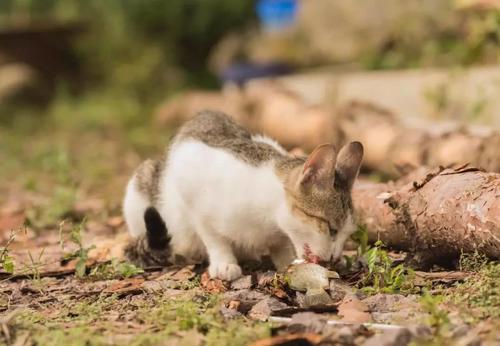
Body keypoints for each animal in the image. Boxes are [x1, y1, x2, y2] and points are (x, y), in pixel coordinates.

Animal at [122, 111, 364, 282]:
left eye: (347, 234)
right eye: (331, 229)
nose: (334, 259)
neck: (268, 218)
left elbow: (280, 244)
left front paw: (286, 262)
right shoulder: (192, 191)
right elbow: (213, 236)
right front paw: (224, 263)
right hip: (142, 186)